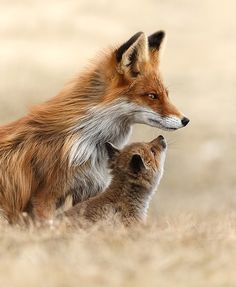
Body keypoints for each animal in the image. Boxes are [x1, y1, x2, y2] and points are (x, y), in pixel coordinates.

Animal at [0, 31, 188, 223]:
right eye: (152, 96)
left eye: (166, 95)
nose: (185, 120)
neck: (86, 144)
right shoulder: (45, 197)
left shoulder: (88, 190)